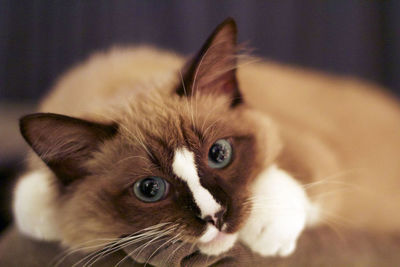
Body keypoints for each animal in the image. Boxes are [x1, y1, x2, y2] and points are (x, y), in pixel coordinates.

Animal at [11, 17, 400, 264]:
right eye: (149, 189)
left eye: (219, 153)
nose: (216, 216)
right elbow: (32, 205)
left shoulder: (305, 146)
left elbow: (286, 173)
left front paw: (269, 233)